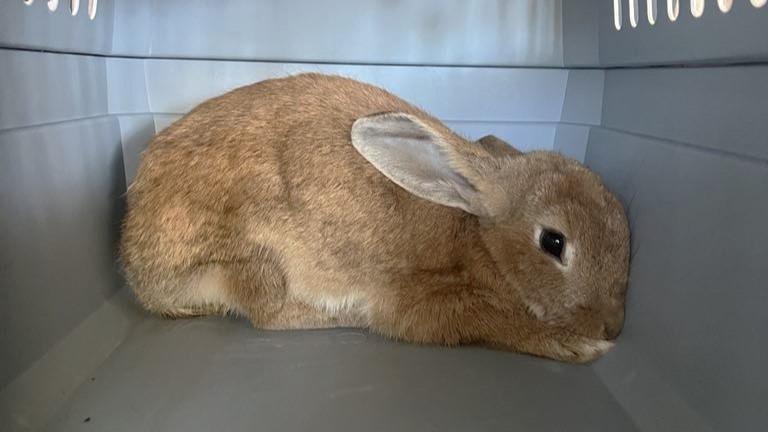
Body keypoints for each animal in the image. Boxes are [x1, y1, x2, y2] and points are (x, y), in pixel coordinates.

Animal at [121, 72, 632, 362]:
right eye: (553, 242)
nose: (614, 327)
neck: (477, 234)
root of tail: (139, 273)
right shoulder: (421, 299)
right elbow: (484, 320)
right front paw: (576, 346)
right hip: (254, 259)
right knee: (270, 315)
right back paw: (340, 318)